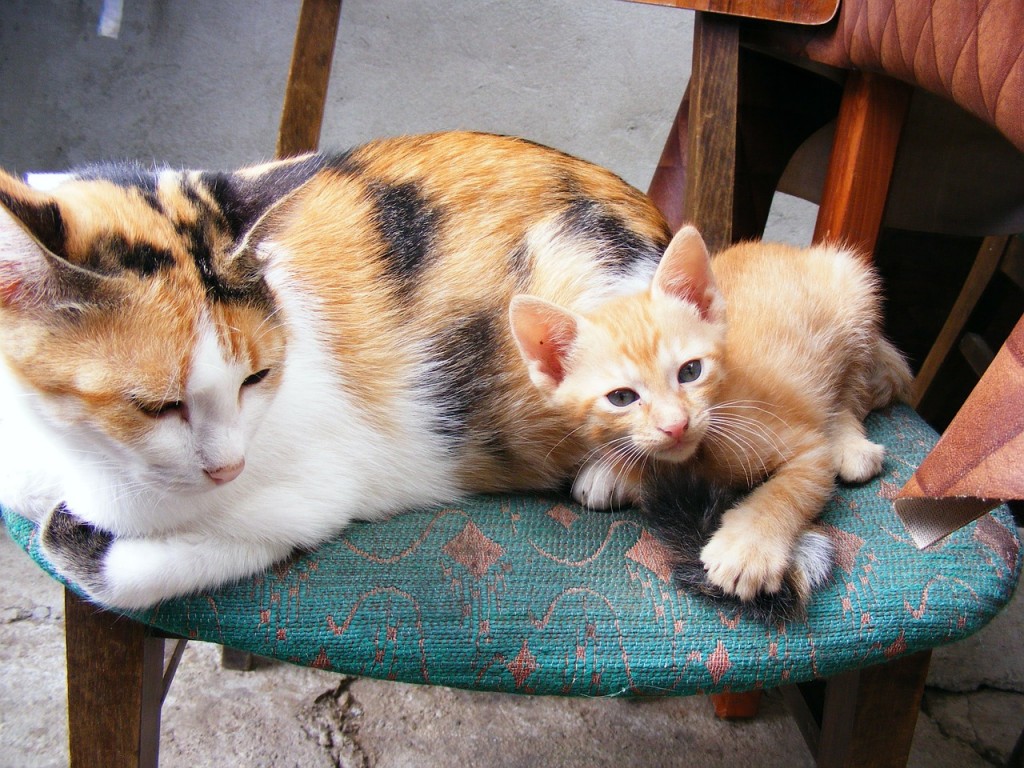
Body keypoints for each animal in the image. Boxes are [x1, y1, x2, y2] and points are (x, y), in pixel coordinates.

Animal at [0, 134, 679, 614]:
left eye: (256, 379)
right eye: (155, 406)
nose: (228, 467)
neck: (72, 449)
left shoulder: (305, 501)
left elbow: (122, 567)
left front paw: (74, 527)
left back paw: (607, 476)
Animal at [512, 225, 913, 606]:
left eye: (690, 371)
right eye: (622, 397)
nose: (676, 425)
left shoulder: (805, 447)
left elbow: (787, 489)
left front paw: (747, 550)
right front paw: (614, 466)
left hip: (854, 293)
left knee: (853, 391)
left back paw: (851, 445)